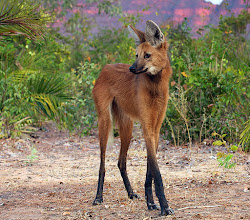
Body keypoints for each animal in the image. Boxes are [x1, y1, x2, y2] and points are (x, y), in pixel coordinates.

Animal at [92, 19, 174, 216]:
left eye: (147, 55)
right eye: (136, 55)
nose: (131, 68)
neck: (155, 87)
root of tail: (105, 67)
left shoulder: (155, 128)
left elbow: (150, 170)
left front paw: (151, 203)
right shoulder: (147, 127)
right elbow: (156, 171)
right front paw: (164, 206)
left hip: (127, 127)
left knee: (121, 162)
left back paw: (131, 193)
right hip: (105, 122)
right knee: (102, 163)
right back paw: (98, 197)